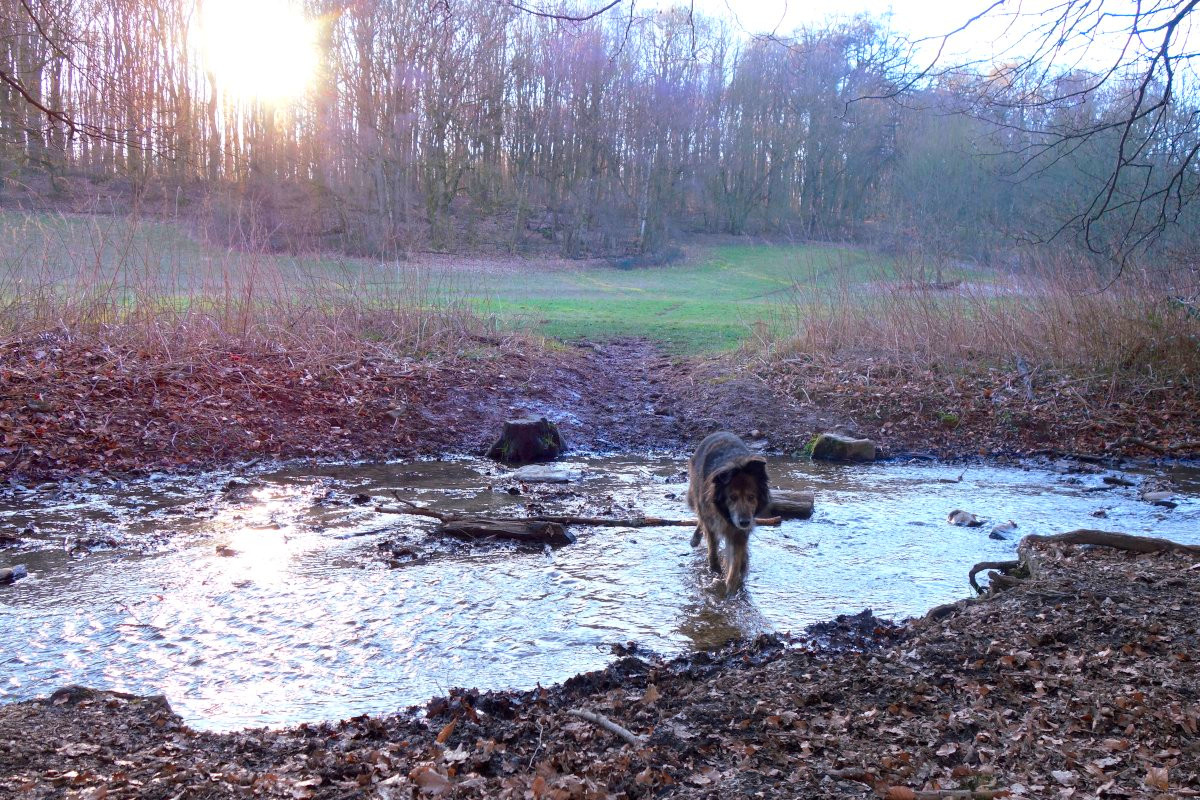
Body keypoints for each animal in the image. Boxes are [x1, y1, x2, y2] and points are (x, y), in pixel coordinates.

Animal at [686, 431, 768, 594]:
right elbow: (712, 549)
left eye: (751, 497)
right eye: (732, 497)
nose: (745, 522)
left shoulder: (739, 532)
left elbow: (735, 561)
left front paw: (731, 586)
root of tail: (720, 432)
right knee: (700, 518)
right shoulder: (711, 522)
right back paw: (695, 539)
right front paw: (715, 570)